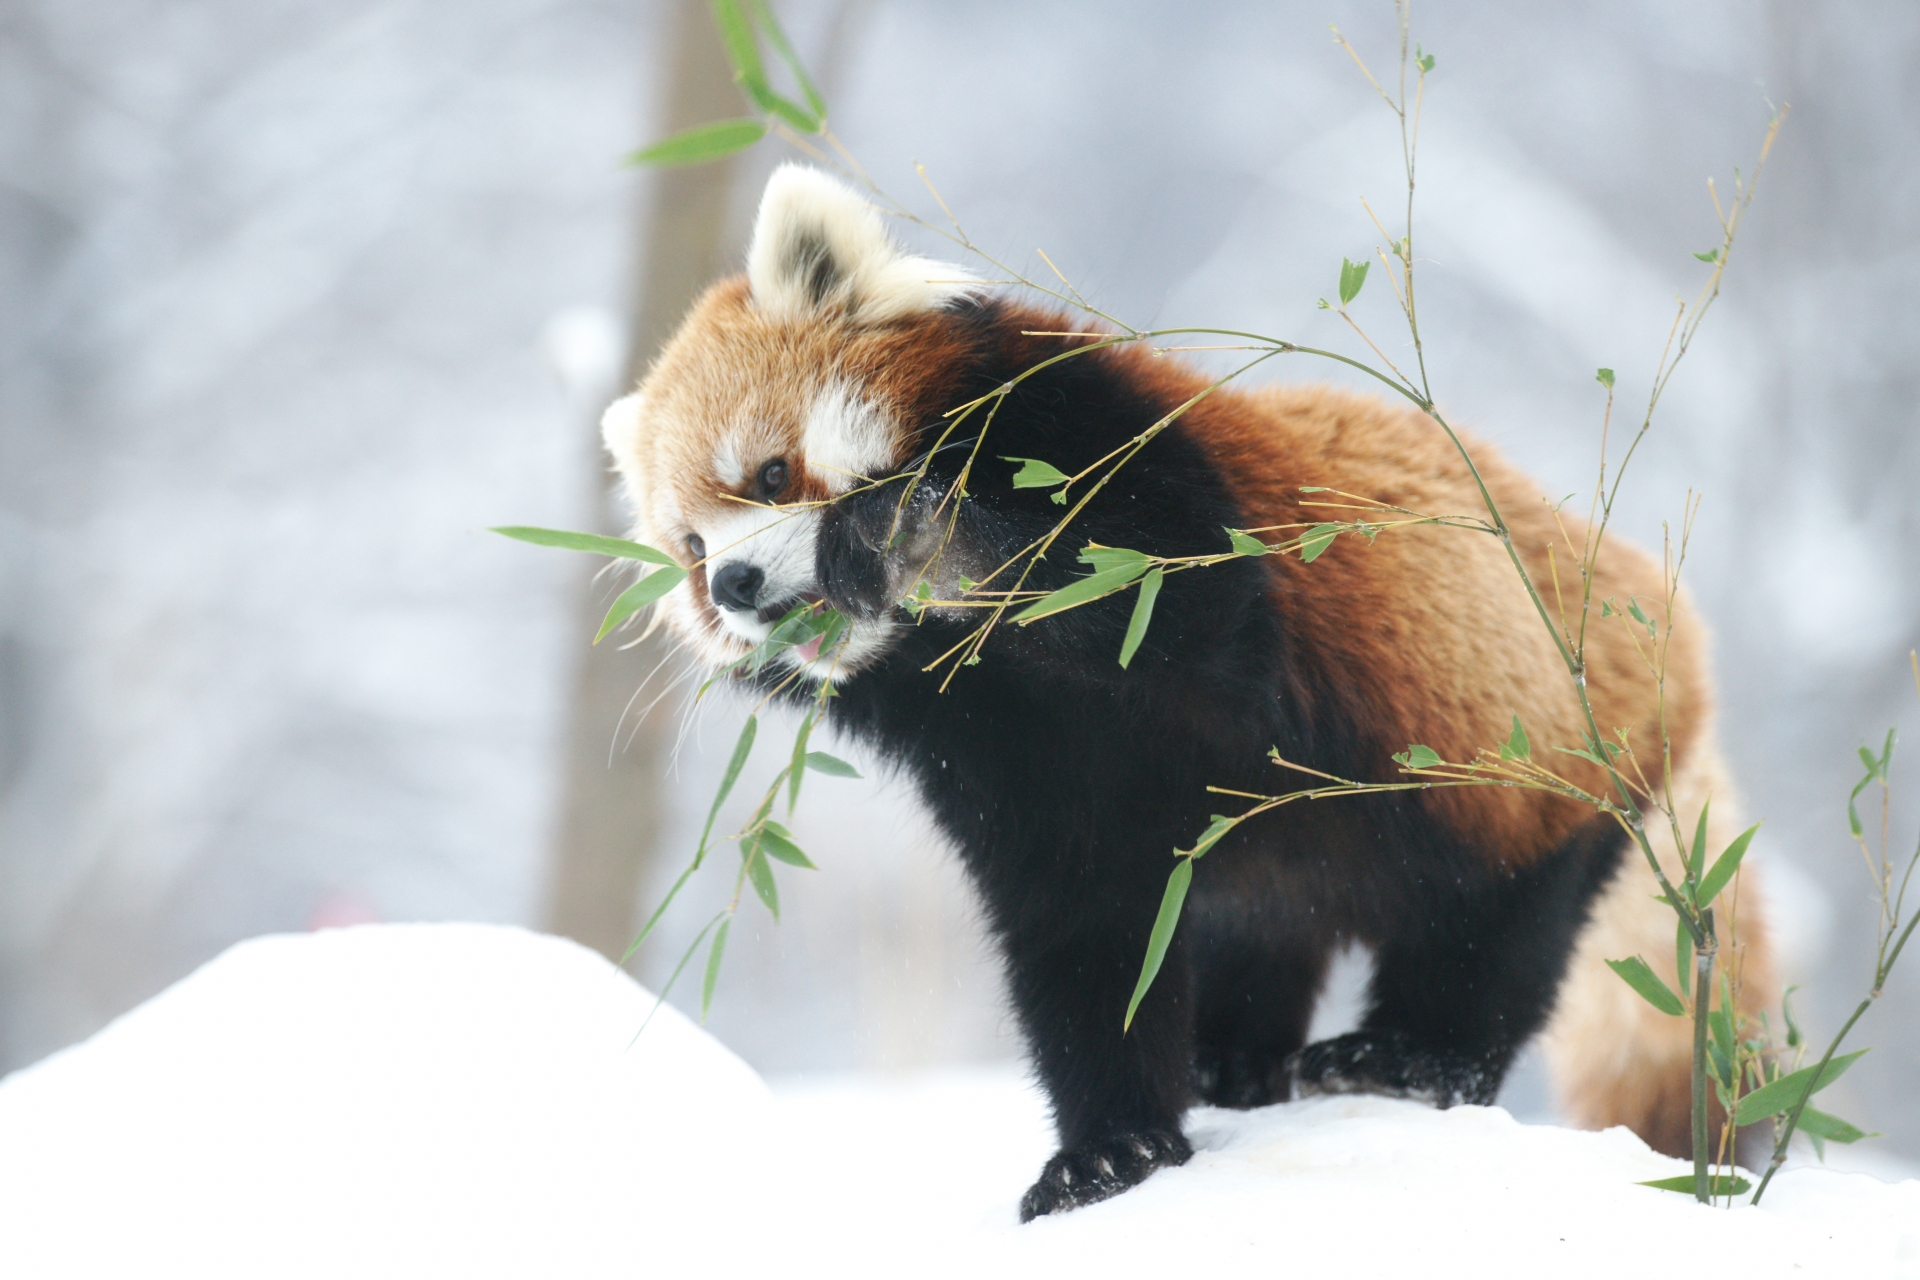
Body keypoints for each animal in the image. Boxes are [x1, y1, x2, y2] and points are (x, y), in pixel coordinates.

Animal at [602, 167, 1781, 1220]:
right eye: (690, 550)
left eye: (769, 474)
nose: (737, 586)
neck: (1008, 674)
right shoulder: (1004, 755)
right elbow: (1085, 936)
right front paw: (1110, 1151)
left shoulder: (1140, 489)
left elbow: (1164, 592)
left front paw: (912, 537)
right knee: (1263, 924)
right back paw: (1233, 1065)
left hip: (1536, 739)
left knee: (1496, 917)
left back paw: (1406, 1055)